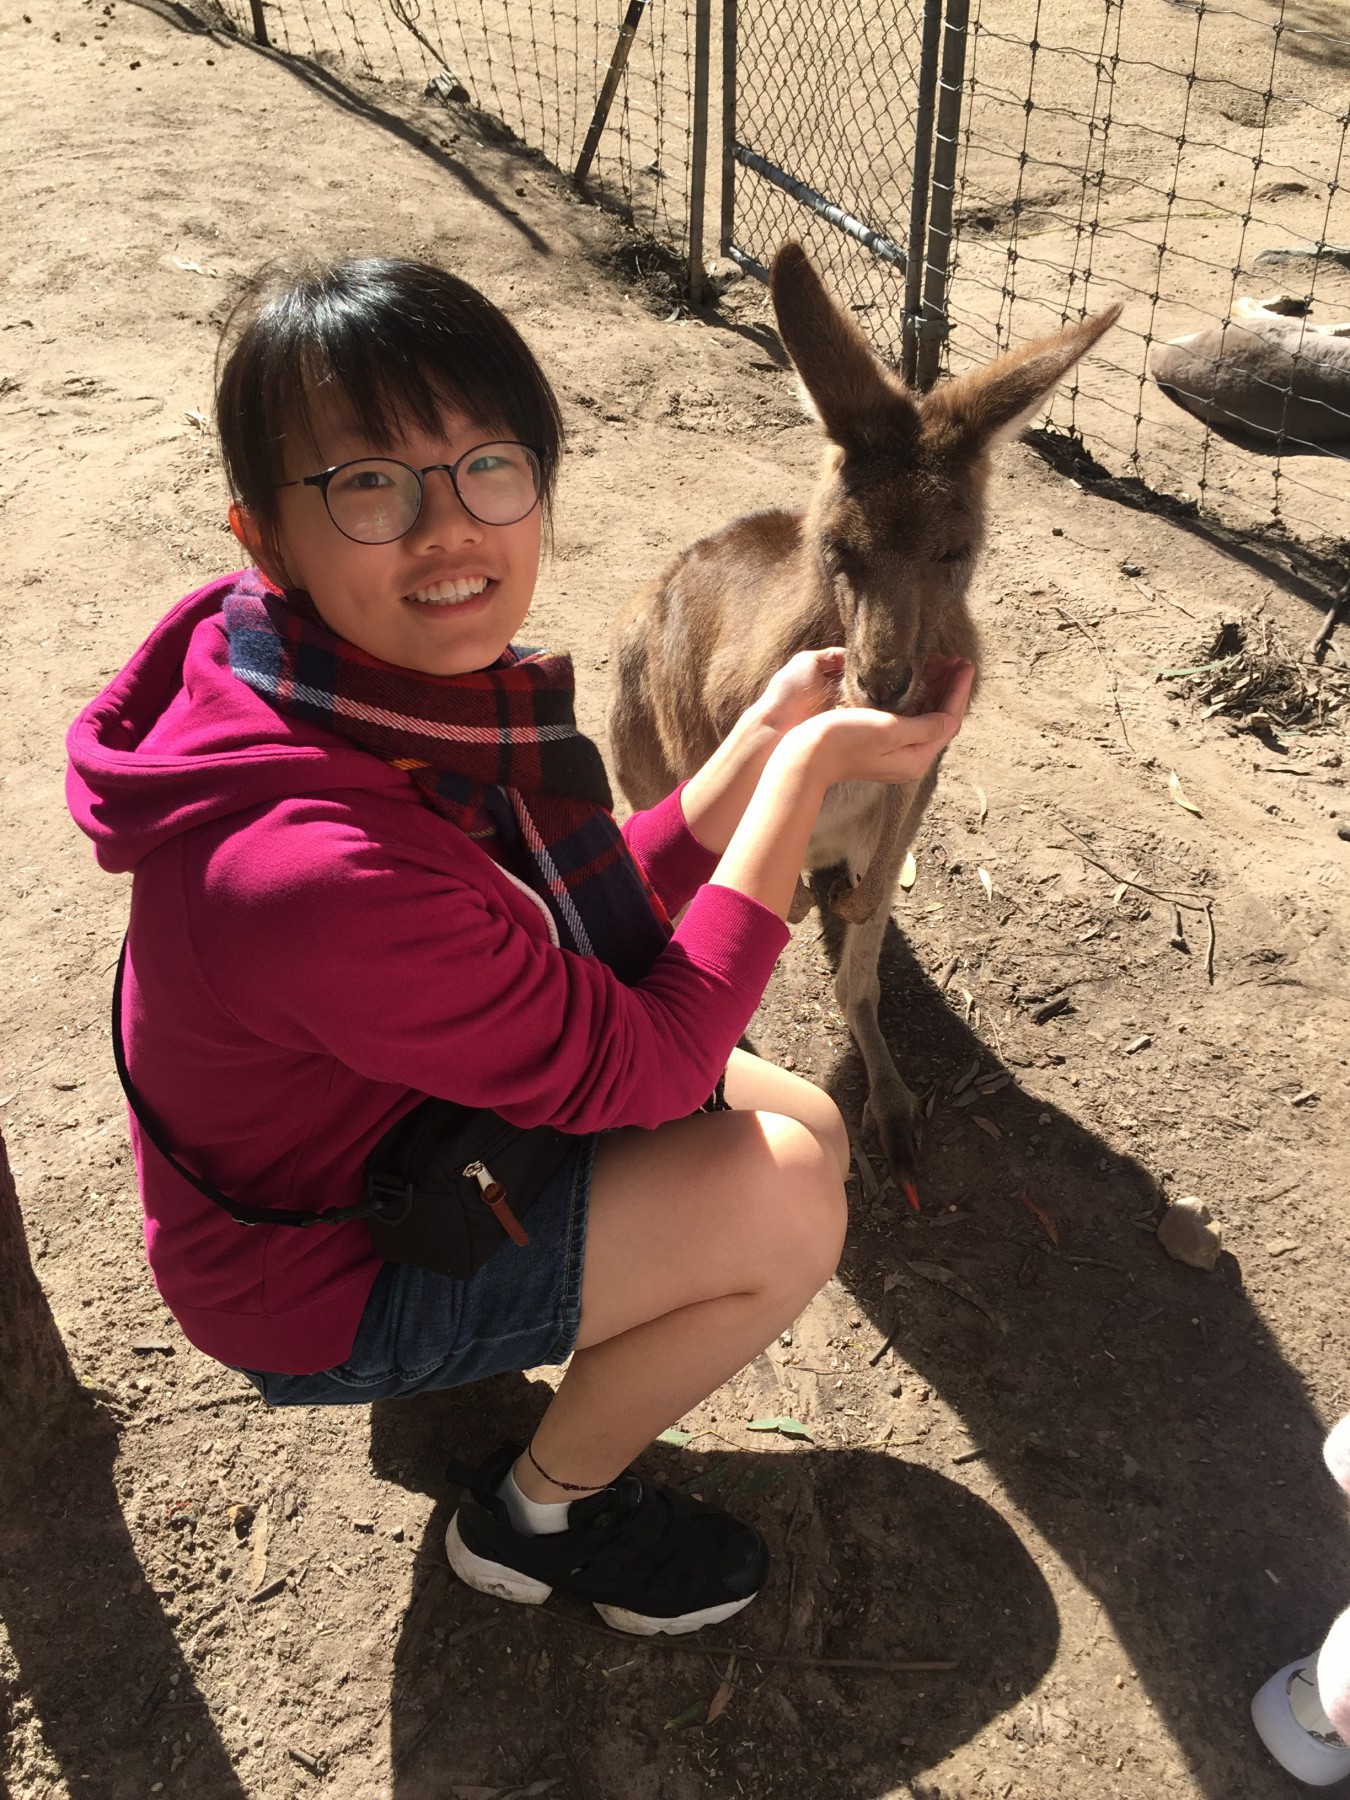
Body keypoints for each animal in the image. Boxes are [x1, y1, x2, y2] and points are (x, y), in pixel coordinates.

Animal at [607, 241, 1119, 1198]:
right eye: (839, 551)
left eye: (957, 553)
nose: (882, 687)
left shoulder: (923, 771)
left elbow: (869, 925)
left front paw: (887, 1089)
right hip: (634, 703)